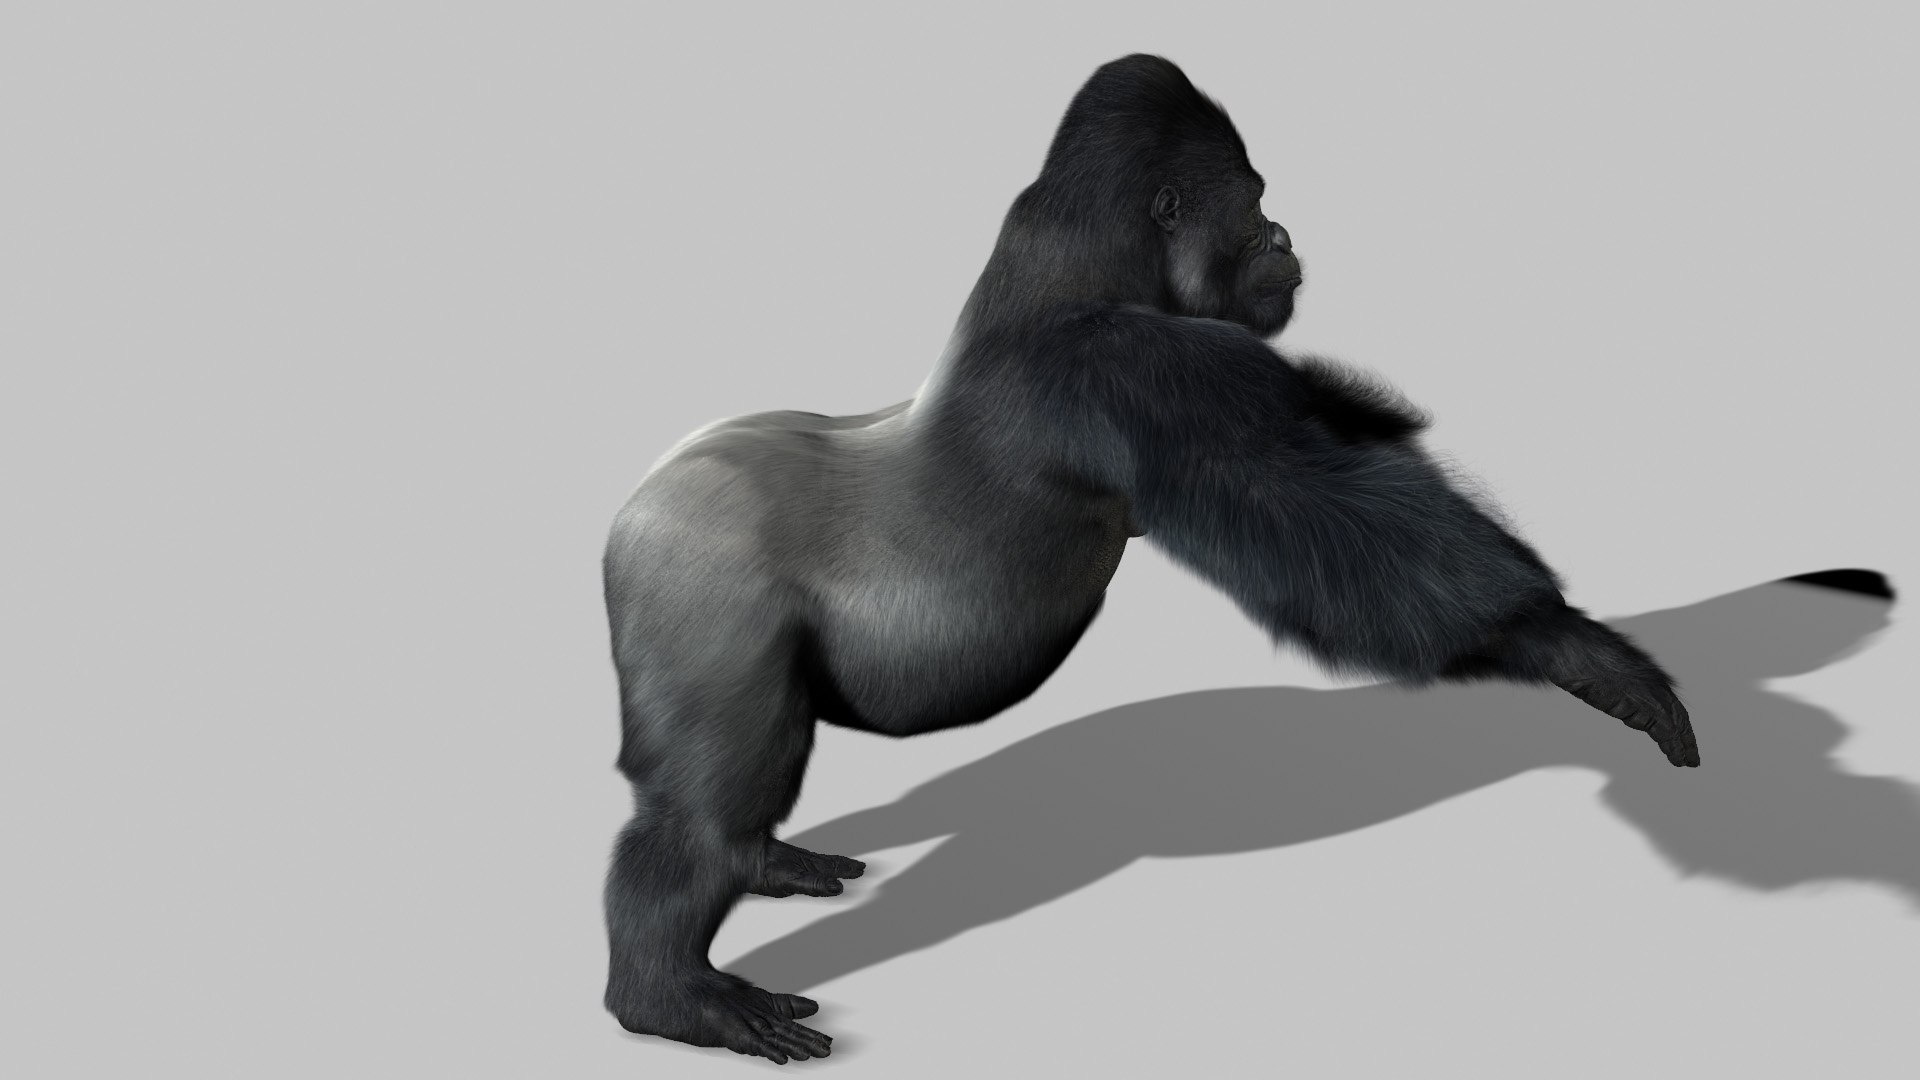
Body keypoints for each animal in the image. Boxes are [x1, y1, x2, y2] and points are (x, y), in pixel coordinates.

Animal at [598, 53, 1698, 1064]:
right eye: (1255, 203)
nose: (1287, 238)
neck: (1076, 264)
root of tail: (632, 513)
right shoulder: (1145, 368)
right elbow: (1324, 516)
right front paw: (1571, 644)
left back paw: (764, 866)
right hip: (698, 577)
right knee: (698, 810)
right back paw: (670, 994)